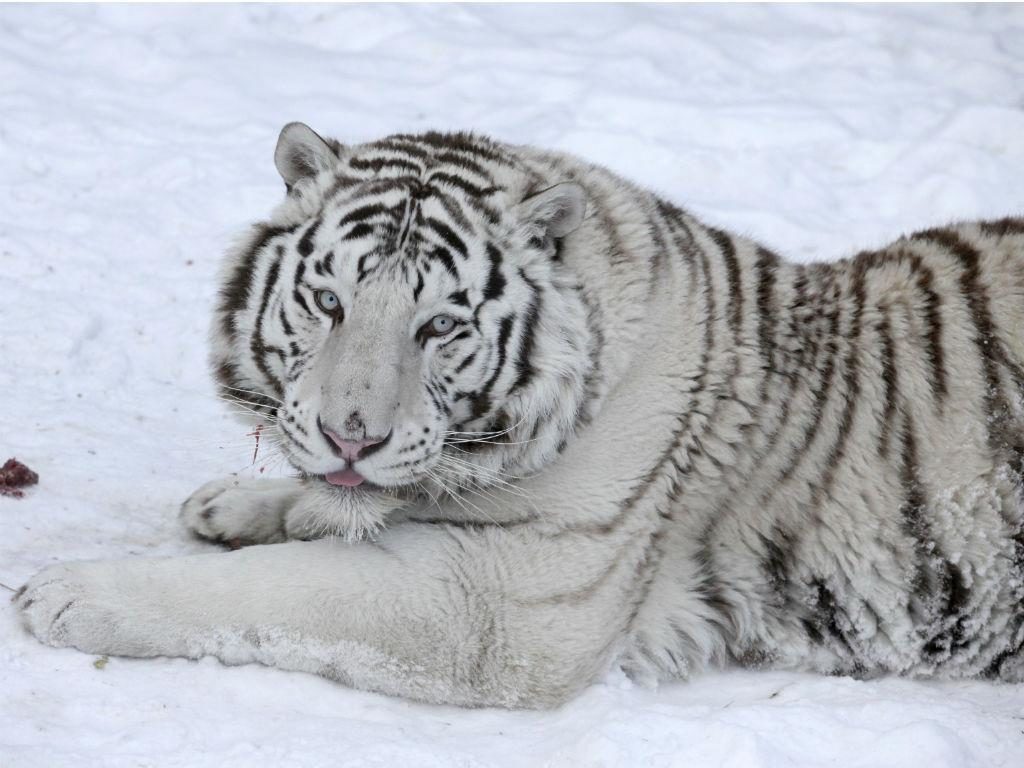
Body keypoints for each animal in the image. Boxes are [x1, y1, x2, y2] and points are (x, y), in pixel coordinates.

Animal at [16, 124, 1024, 708]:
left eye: (439, 326)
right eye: (329, 303)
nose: (352, 435)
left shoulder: (507, 606)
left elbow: (280, 591)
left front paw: (68, 594)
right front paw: (235, 502)